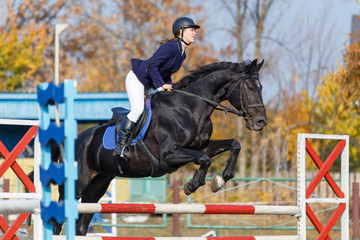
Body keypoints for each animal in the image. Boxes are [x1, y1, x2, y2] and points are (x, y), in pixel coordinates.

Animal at [52, 59, 268, 235]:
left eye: (261, 87)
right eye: (250, 87)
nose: (261, 122)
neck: (191, 108)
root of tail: (74, 139)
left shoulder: (202, 146)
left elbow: (233, 145)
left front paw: (220, 180)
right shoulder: (167, 157)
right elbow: (204, 159)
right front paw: (193, 184)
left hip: (97, 186)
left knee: (81, 224)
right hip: (77, 185)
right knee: (58, 220)